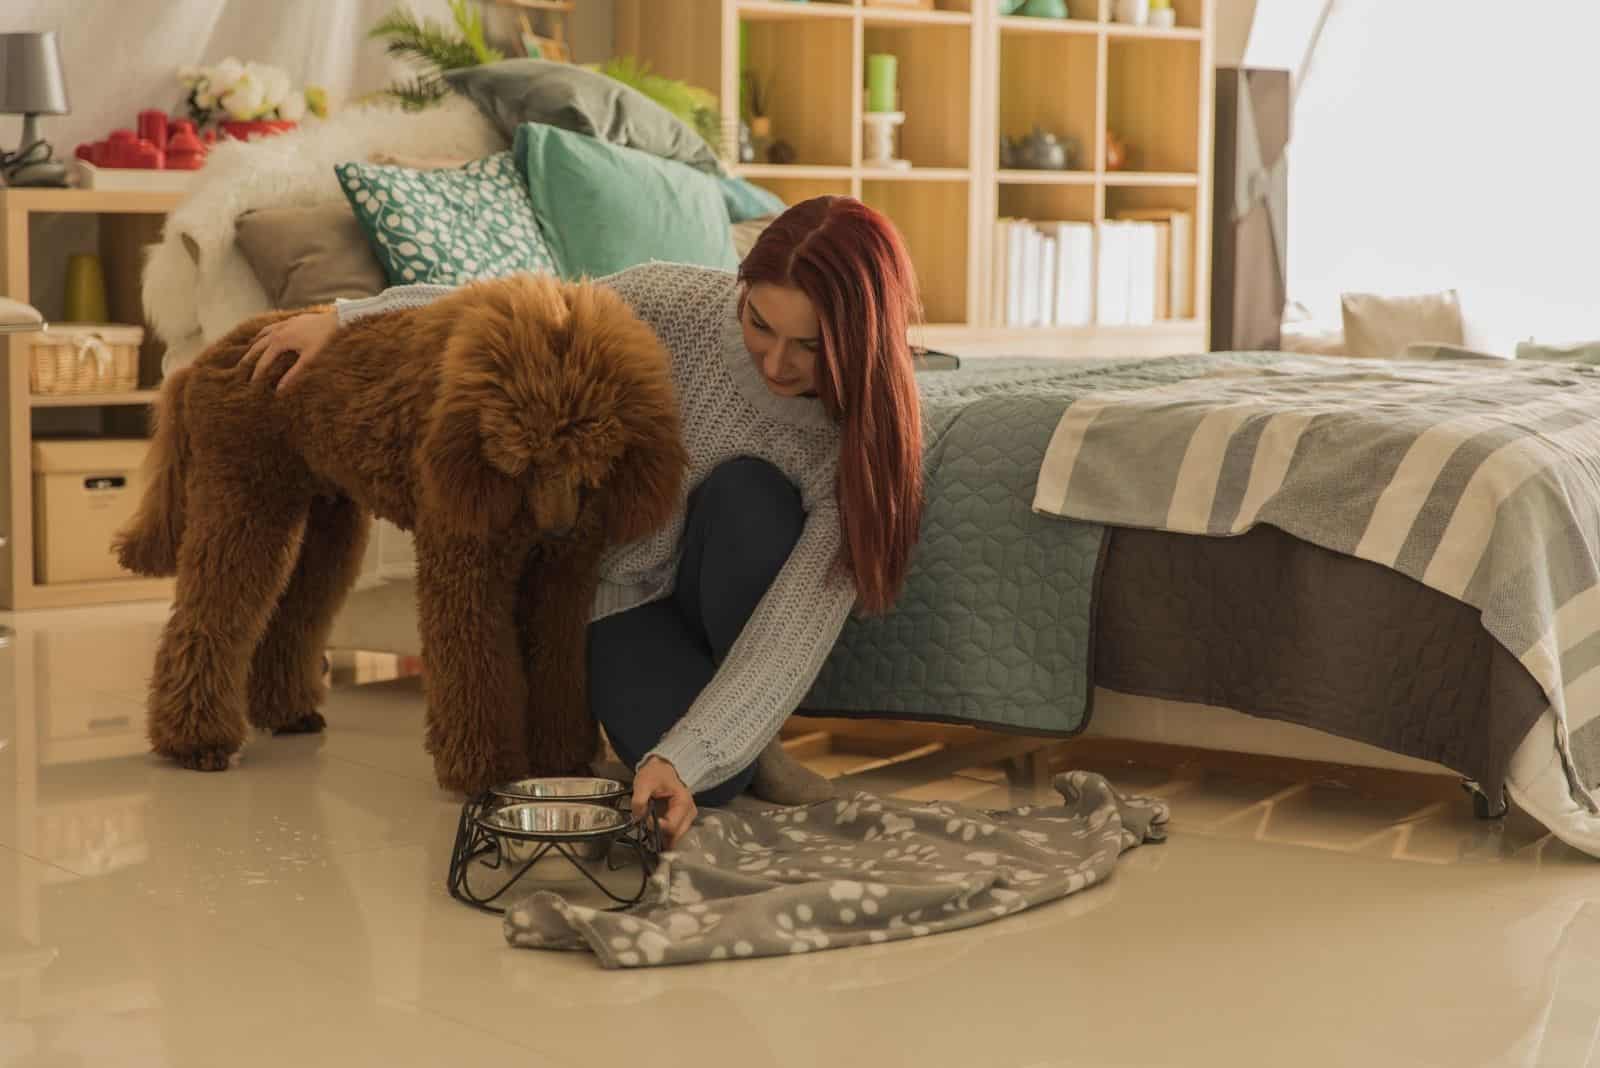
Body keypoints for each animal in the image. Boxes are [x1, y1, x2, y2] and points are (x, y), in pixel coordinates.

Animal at [112, 273, 688, 793]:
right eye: (524, 457)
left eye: (593, 457)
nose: (559, 530)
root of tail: (205, 359)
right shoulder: (466, 560)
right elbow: (475, 667)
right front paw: (486, 773)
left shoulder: (560, 580)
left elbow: (557, 664)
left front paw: (561, 761)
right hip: (243, 500)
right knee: (208, 617)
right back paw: (196, 743)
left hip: (327, 523)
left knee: (292, 615)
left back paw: (286, 713)